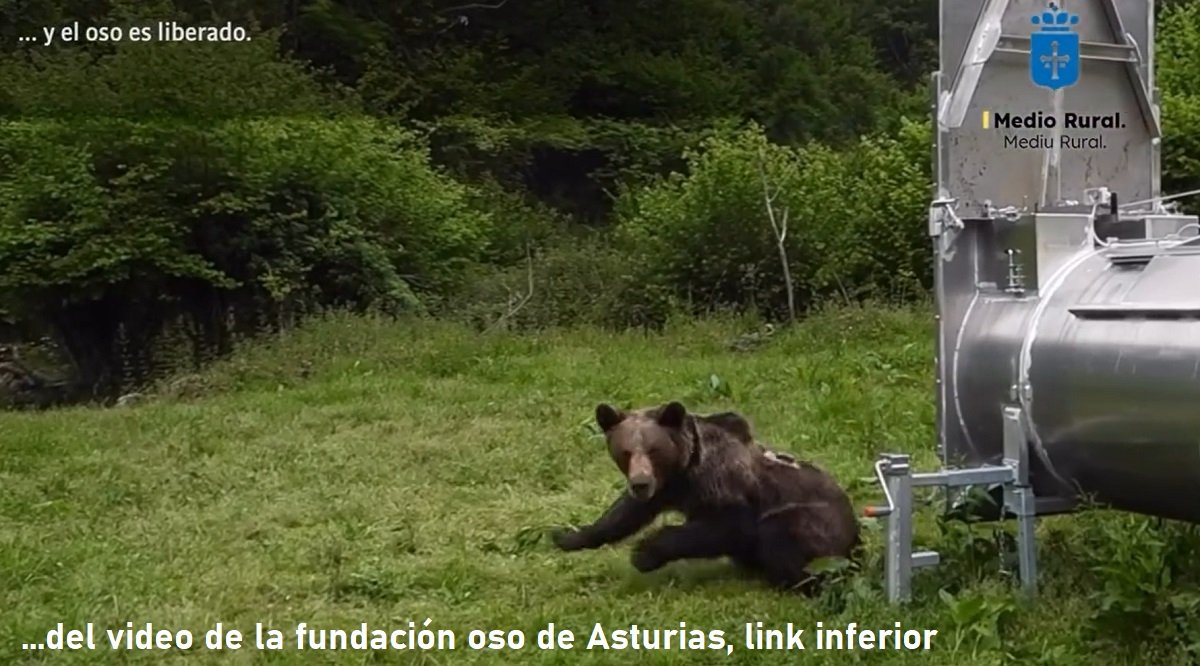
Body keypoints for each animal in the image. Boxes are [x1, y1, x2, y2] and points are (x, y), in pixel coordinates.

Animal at [552, 401, 860, 594]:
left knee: (783, 535)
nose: (639, 483)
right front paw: (566, 536)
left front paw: (644, 553)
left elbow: (727, 527)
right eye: (625, 451)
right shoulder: (666, 488)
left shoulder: (721, 486)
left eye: (654, 449)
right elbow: (622, 515)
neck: (684, 470)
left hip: (816, 522)